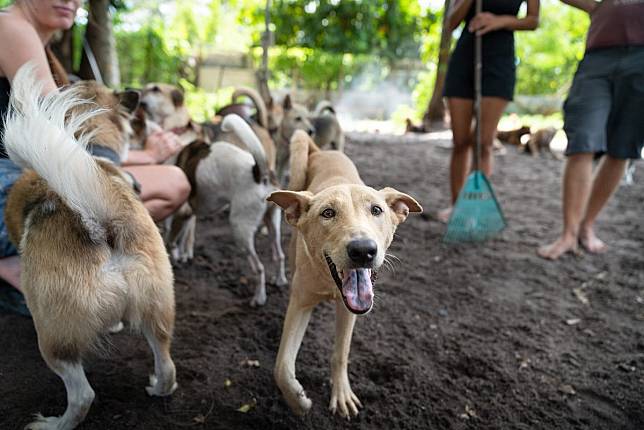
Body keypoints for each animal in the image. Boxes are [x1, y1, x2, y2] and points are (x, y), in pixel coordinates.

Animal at [4, 64, 179, 430]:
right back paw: (158, 388)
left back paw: (53, 424)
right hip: (157, 309)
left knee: (83, 395)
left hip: (54, 339)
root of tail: (101, 224)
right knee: (167, 364)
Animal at [170, 114, 286, 306]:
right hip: (273, 222)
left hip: (240, 229)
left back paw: (259, 297)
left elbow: (171, 239)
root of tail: (259, 172)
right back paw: (280, 279)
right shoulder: (188, 214)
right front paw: (182, 255)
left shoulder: (180, 213)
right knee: (279, 255)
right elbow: (184, 235)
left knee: (259, 267)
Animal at [266, 130, 422, 416]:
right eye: (327, 213)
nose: (363, 250)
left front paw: (341, 394)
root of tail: (321, 151)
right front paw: (298, 401)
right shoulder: (300, 304)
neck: (329, 283)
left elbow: (340, 354)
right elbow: (281, 366)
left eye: (376, 210)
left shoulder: (349, 311)